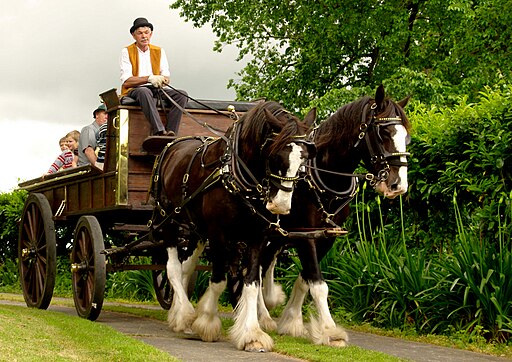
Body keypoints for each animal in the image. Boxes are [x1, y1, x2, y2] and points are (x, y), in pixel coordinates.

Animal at [153, 100, 316, 352]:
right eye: (274, 155)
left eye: (304, 159)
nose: (280, 205)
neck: (239, 177)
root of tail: (171, 145)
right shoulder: (218, 234)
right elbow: (219, 280)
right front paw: (207, 321)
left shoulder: (257, 236)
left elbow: (251, 283)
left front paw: (251, 334)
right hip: (168, 220)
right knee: (172, 267)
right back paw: (185, 314)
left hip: (196, 229)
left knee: (186, 266)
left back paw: (179, 314)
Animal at [256, 84, 412, 346]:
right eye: (383, 132)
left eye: (406, 136)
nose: (398, 184)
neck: (323, 176)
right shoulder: (306, 235)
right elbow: (318, 284)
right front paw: (330, 330)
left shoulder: (326, 236)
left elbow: (305, 278)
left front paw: (291, 320)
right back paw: (263, 313)